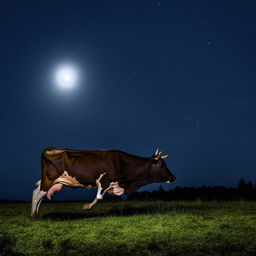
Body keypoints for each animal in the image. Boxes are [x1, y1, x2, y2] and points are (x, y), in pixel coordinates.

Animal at [30, 147, 176, 217]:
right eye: (162, 165)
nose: (173, 177)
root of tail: (50, 149)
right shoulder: (104, 180)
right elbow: (99, 198)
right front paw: (86, 207)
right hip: (48, 179)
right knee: (37, 195)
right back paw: (33, 215)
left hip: (52, 182)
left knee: (38, 194)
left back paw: (36, 213)